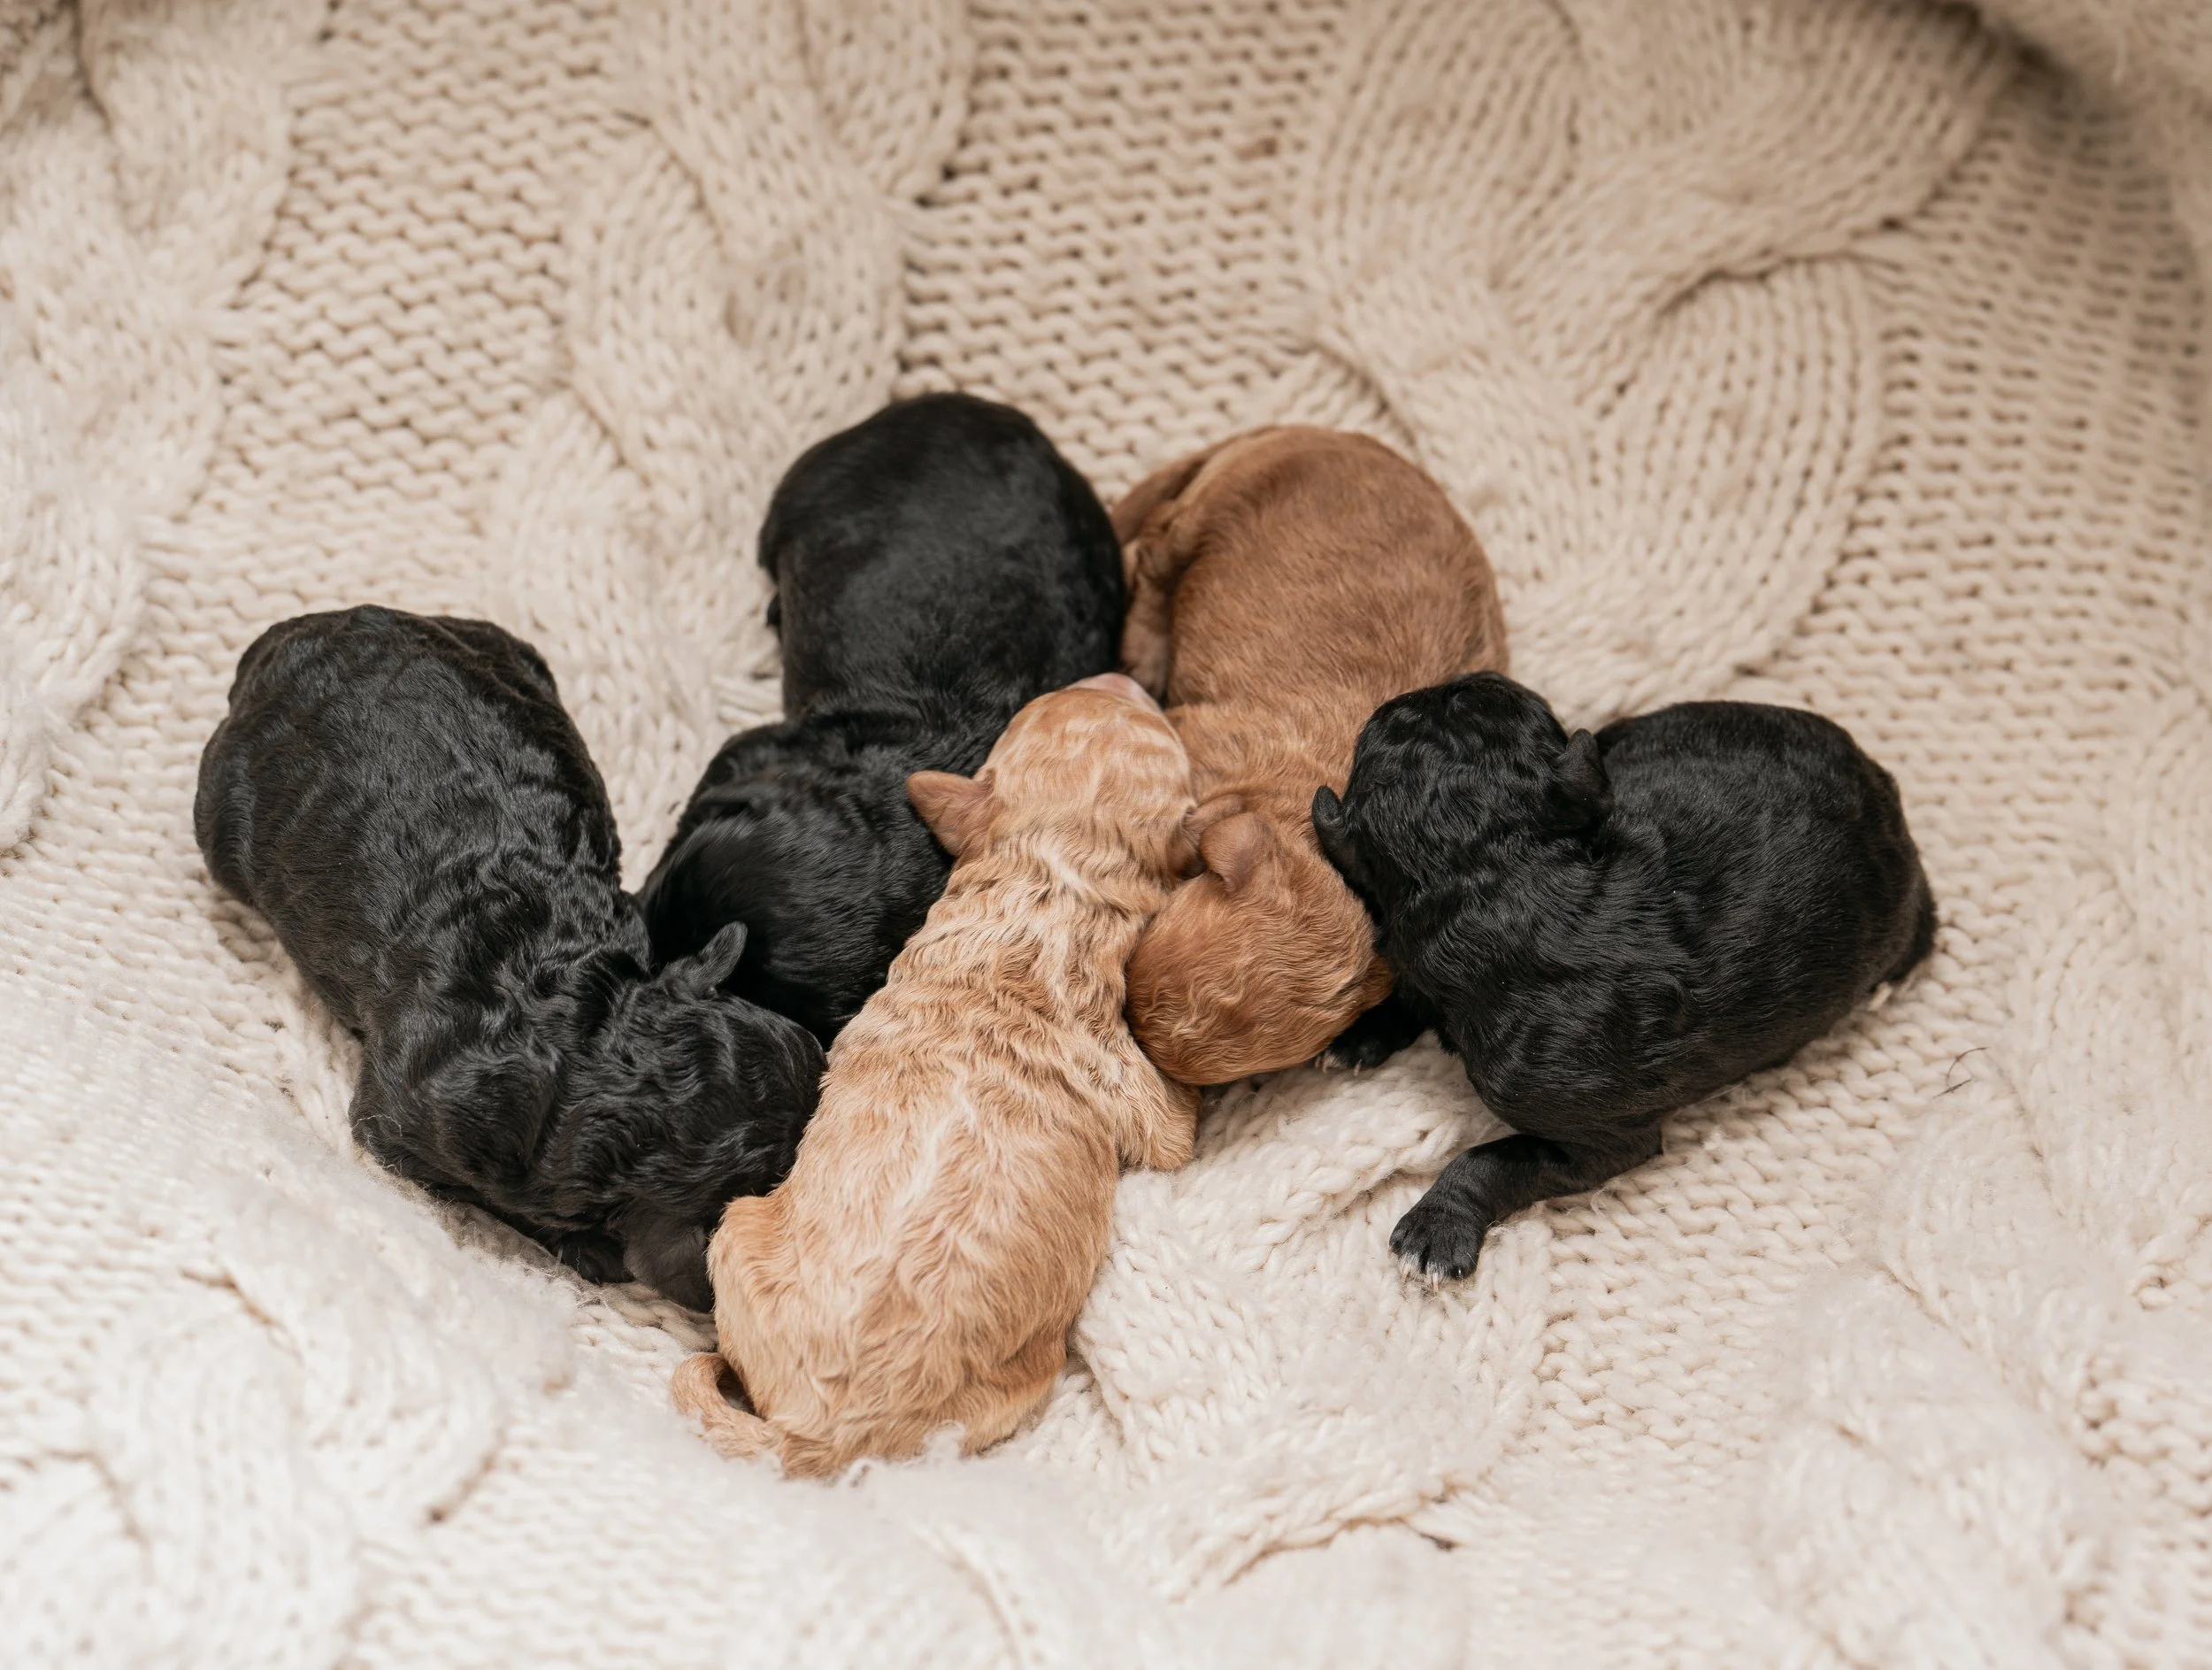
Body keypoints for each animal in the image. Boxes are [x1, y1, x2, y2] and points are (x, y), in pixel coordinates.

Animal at [1311, 672, 1938, 1281]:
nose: (1469, 673)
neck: (1499, 886)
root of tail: (1880, 778)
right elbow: (1410, 992)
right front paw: (1359, 1036)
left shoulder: (1595, 1136)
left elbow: (1496, 1157)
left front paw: (1436, 1229)